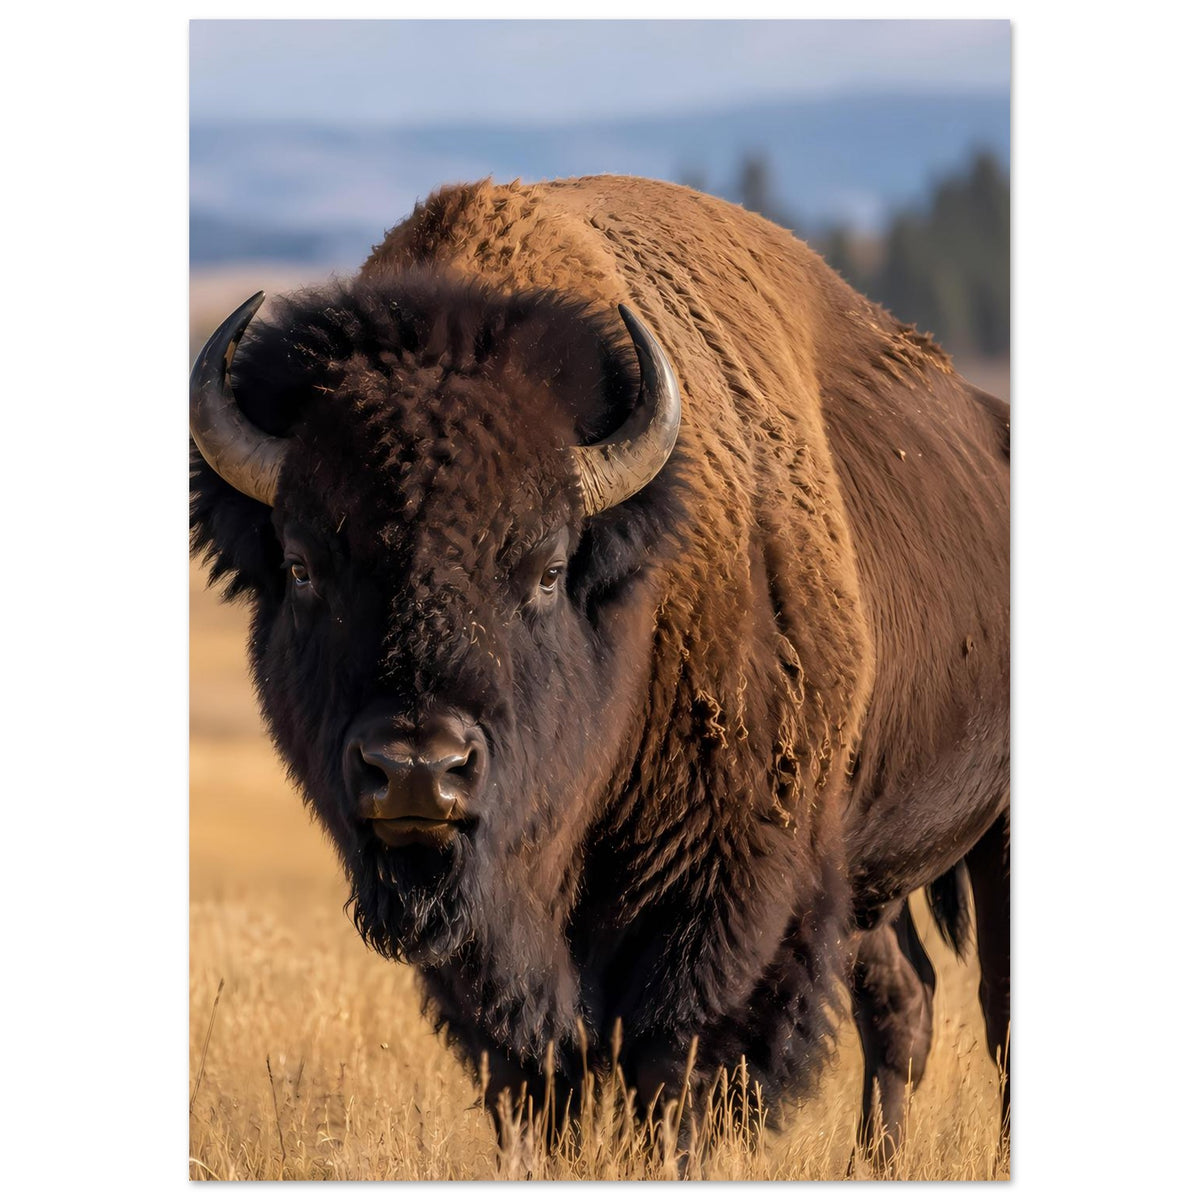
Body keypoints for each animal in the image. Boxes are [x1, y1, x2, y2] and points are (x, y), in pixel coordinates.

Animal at [190, 175, 1009, 1159]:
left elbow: (676, 1071)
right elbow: (537, 1078)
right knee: (903, 997)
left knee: (994, 1009)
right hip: (867, 868)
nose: (419, 770)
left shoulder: (721, 900)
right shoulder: (493, 951)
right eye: (304, 565)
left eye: (546, 568)